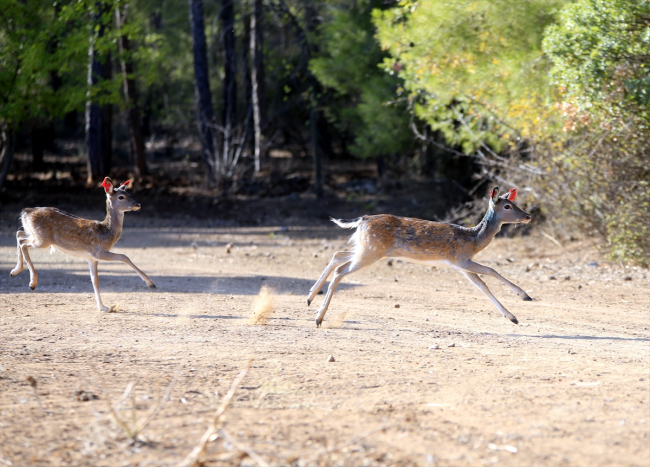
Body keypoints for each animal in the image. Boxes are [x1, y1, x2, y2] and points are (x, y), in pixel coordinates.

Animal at [10, 177, 154, 312]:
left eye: (129, 193)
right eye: (121, 197)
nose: (138, 204)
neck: (107, 233)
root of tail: (25, 212)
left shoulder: (91, 258)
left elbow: (94, 280)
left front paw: (103, 307)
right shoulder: (98, 251)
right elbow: (124, 256)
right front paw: (150, 283)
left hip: (35, 234)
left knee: (19, 234)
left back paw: (14, 271)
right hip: (43, 240)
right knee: (23, 243)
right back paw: (32, 282)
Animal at [308, 186, 532, 326]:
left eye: (513, 203)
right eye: (507, 206)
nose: (528, 216)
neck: (474, 240)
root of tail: (362, 219)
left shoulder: (460, 266)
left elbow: (482, 286)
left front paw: (512, 316)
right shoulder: (460, 258)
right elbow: (491, 270)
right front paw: (524, 295)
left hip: (367, 248)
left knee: (338, 255)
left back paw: (311, 298)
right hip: (371, 250)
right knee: (340, 270)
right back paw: (319, 317)